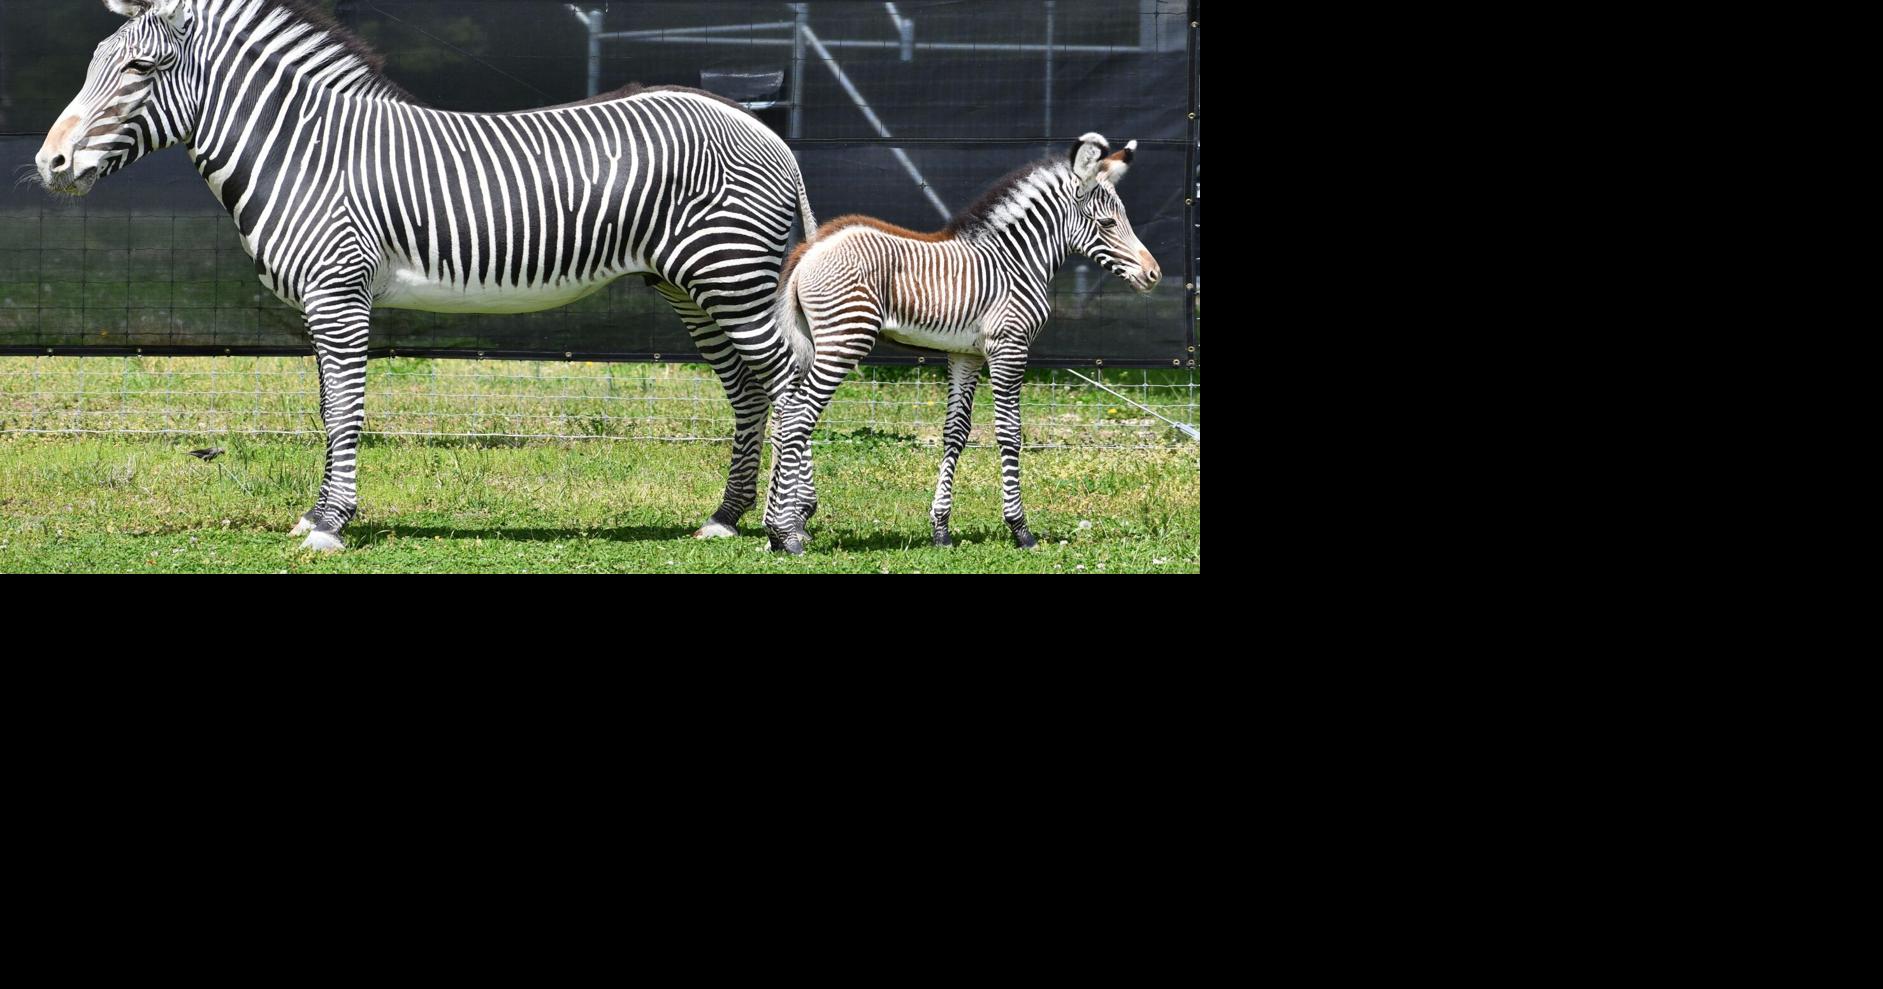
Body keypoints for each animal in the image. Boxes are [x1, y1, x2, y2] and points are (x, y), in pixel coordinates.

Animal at [35, 0, 817, 551]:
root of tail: (762, 127)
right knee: (749, 389)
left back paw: (789, 525)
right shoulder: (321, 301)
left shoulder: (339, 291)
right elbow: (329, 408)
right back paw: (729, 516)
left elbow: (346, 408)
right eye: (96, 63)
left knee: (791, 377)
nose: (50, 164)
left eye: (139, 70)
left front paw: (332, 524)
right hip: (687, 283)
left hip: (729, 273)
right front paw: (318, 513)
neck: (302, 152)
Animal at [761, 133, 1159, 554]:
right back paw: (788, 534)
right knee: (798, 417)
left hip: (809, 343)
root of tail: (809, 251)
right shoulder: (1009, 346)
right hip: (844, 340)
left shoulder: (964, 355)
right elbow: (1009, 432)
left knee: (784, 415)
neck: (1016, 263)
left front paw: (941, 529)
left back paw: (776, 528)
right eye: (1107, 222)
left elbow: (956, 432)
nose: (1154, 274)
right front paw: (1020, 529)